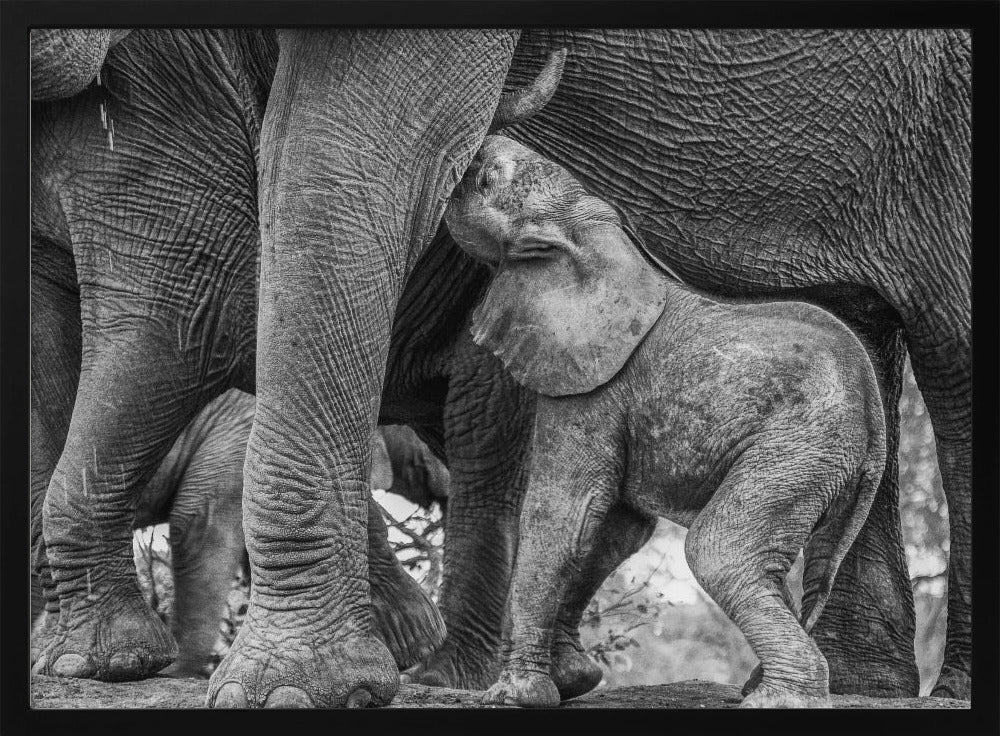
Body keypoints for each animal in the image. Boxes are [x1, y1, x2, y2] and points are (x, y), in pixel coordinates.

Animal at [446, 134, 888, 709]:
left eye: (488, 177)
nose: (480, 145)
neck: (594, 231)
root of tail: (875, 417)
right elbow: (613, 530)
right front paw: (573, 681)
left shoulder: (595, 386)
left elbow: (563, 515)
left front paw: (513, 695)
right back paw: (759, 689)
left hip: (798, 448)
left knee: (718, 549)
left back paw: (775, 700)